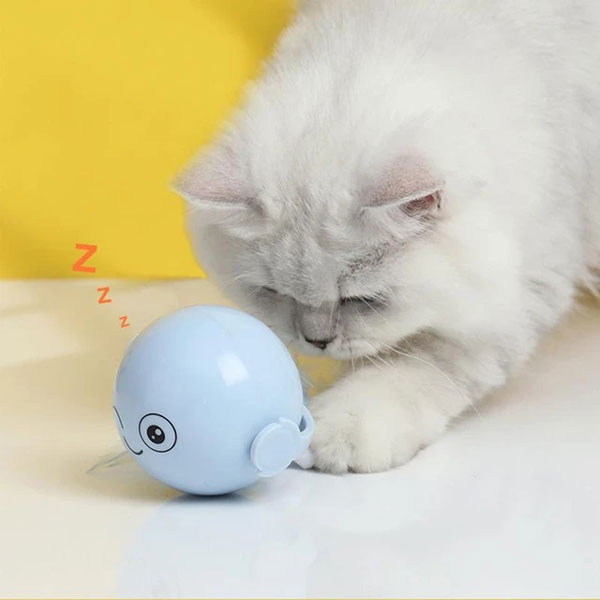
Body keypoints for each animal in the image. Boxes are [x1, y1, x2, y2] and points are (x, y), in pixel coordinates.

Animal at [174, 0, 600, 473]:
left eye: (362, 300)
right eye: (273, 293)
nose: (316, 342)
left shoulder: (522, 286)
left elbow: (418, 363)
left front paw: (341, 432)